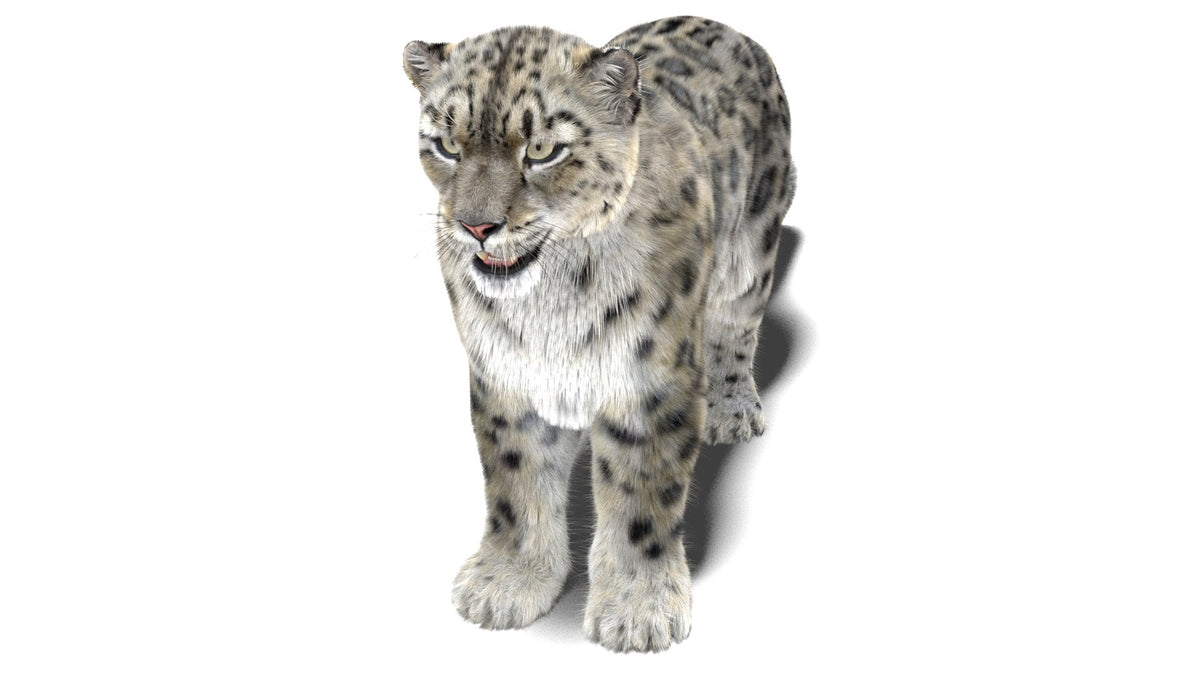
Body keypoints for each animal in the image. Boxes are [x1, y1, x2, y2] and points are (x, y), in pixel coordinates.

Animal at [403, 15, 795, 652]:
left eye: (542, 149)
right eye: (447, 145)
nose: (476, 226)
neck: (550, 302)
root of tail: (728, 26)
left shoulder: (648, 380)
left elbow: (642, 497)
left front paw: (638, 611)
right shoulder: (504, 377)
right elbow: (514, 482)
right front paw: (507, 583)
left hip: (751, 251)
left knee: (737, 326)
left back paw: (732, 409)